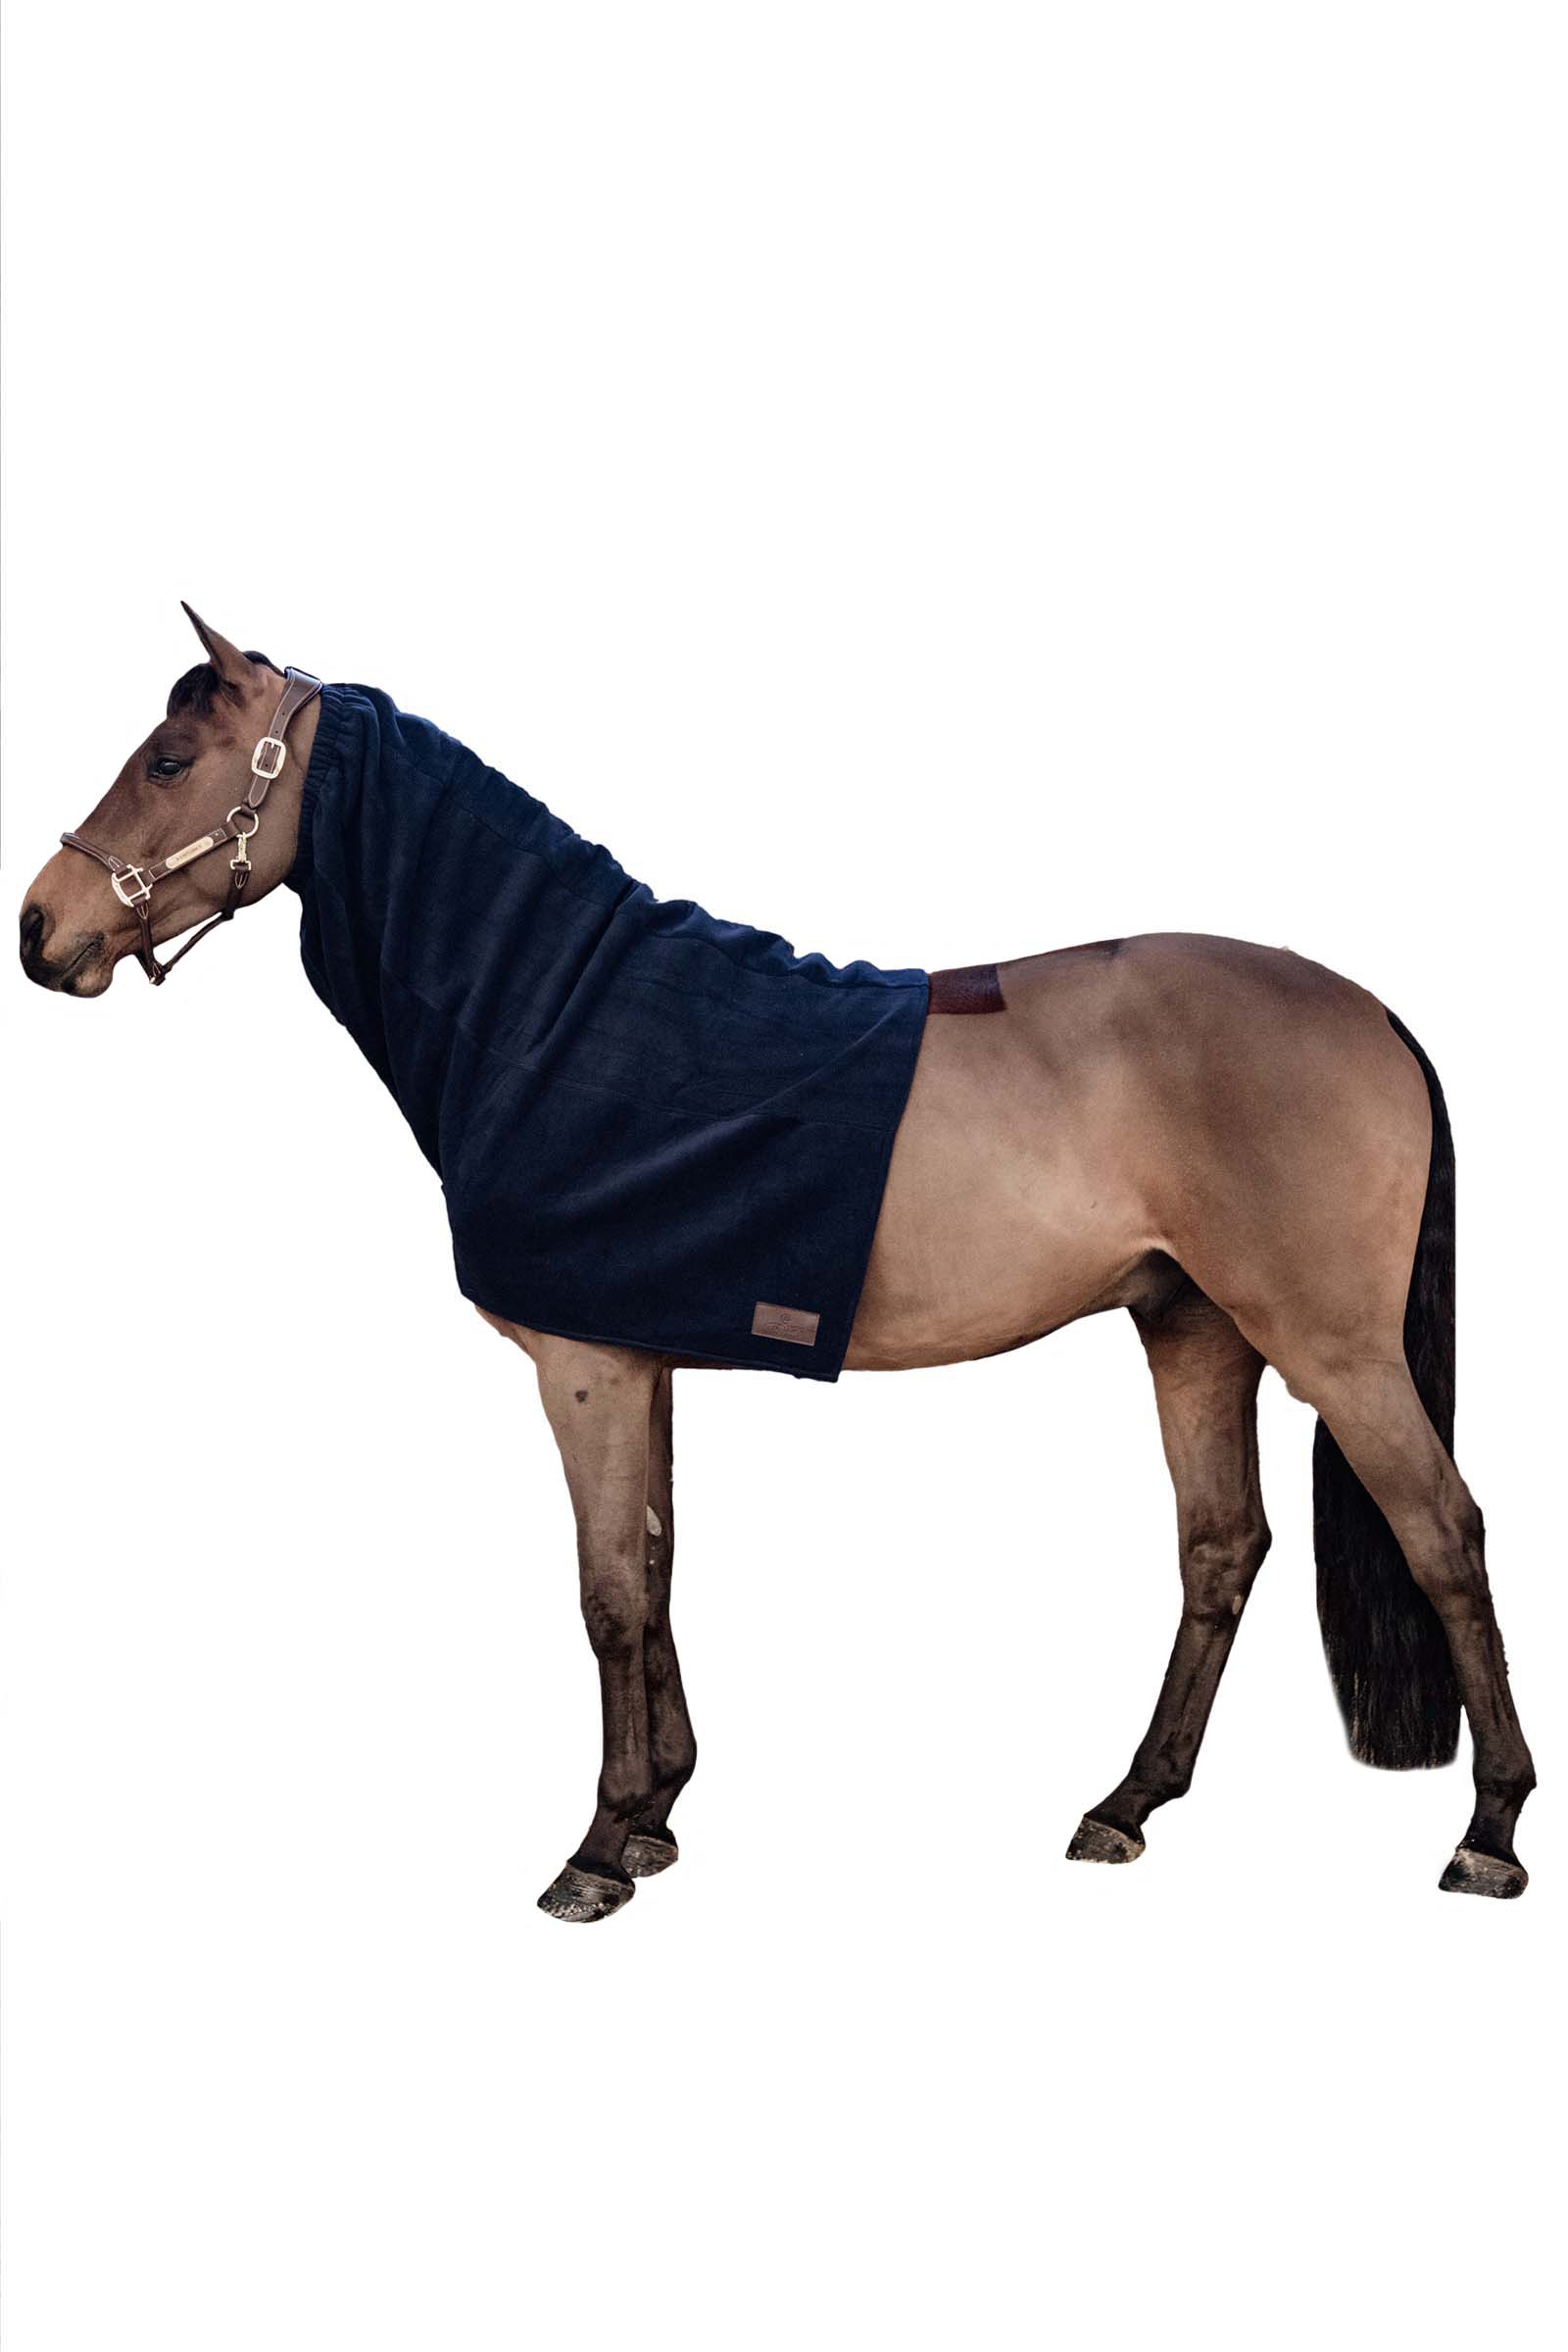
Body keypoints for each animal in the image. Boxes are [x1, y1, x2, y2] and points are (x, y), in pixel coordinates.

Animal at [18, 605, 1536, 1920]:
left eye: (168, 760)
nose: (40, 929)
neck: (559, 1010)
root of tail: (1370, 1012)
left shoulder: (583, 1369)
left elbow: (607, 1596)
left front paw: (595, 1851)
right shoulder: (641, 1358)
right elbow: (657, 1565)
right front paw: (658, 1815)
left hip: (1330, 1344)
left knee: (1442, 1534)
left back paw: (1489, 1832)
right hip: (1195, 1330)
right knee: (1222, 1548)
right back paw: (1125, 1807)